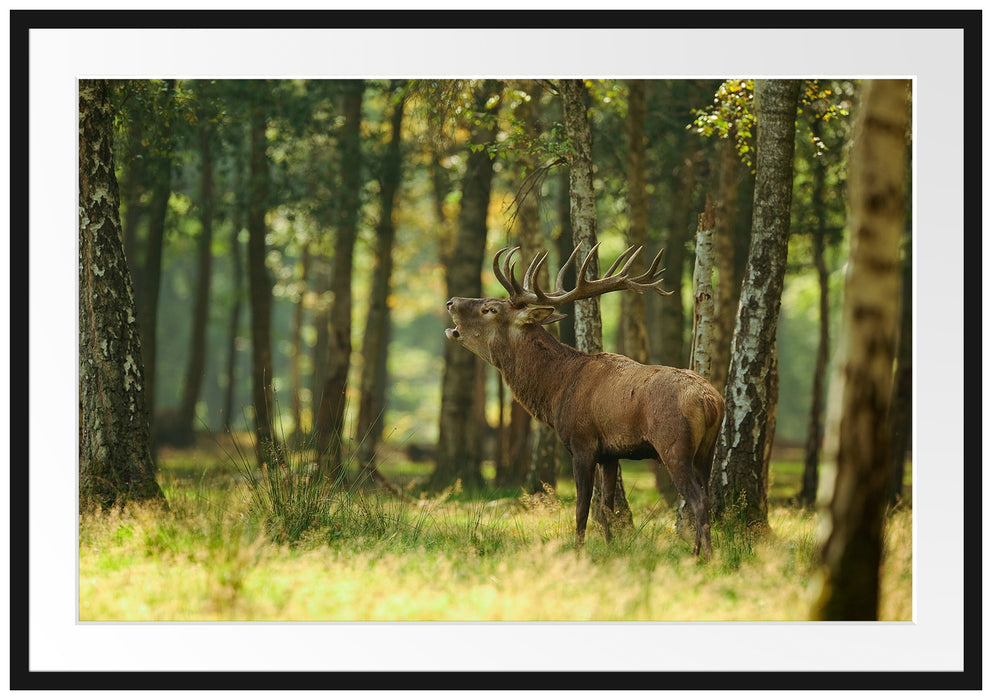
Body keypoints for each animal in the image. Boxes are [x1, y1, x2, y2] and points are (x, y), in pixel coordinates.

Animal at [444, 243, 725, 558]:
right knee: (706, 497)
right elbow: (606, 509)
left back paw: (704, 557)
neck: (556, 391)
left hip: (673, 445)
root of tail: (710, 401)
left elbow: (582, 509)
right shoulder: (611, 454)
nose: (451, 301)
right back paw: (698, 552)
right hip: (706, 450)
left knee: (697, 499)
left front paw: (578, 551)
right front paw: (611, 548)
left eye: (490, 309)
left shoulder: (582, 444)